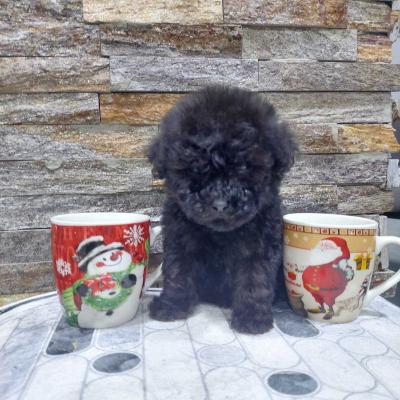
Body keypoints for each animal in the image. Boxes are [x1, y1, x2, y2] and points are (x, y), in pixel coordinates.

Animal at [147, 85, 296, 334]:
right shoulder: (179, 239)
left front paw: (252, 316)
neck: (219, 234)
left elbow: (255, 279)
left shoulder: (260, 246)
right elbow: (177, 272)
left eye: (243, 167)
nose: (219, 203)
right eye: (194, 169)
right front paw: (172, 304)